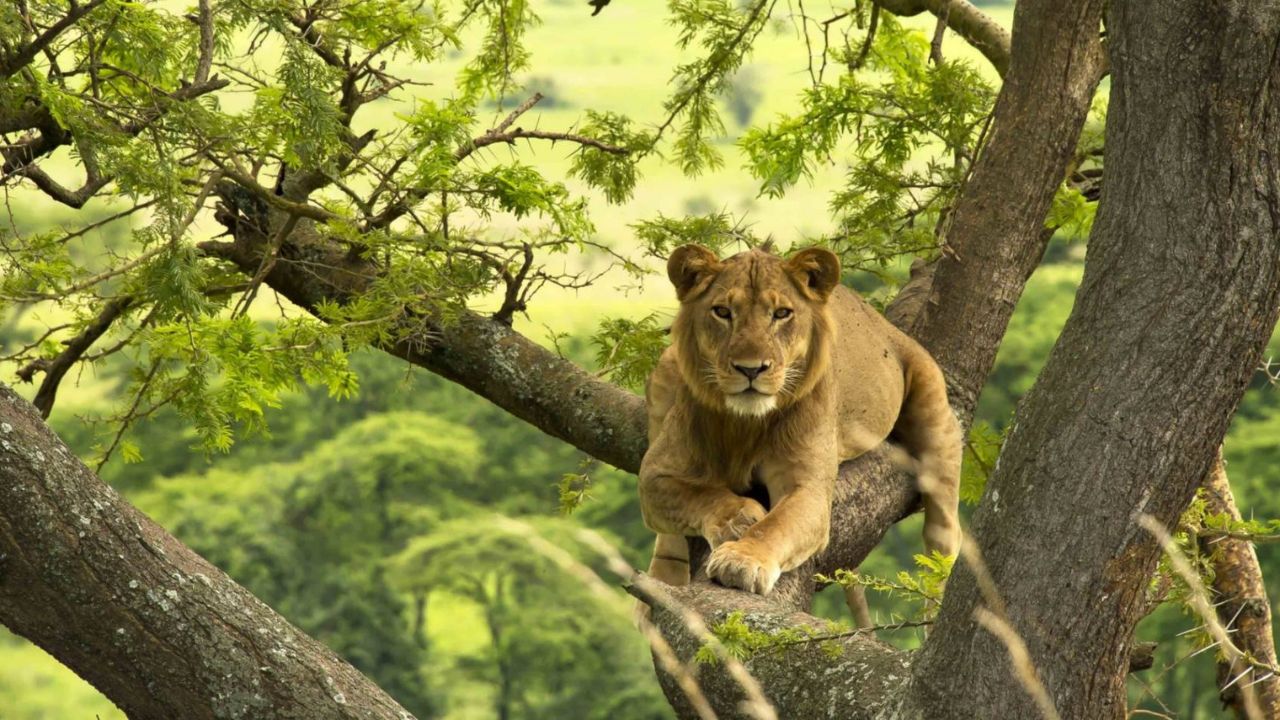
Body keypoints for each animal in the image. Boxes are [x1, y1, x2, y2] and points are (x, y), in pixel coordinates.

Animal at [638, 243, 961, 598]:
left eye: (781, 314)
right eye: (722, 312)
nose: (751, 369)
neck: (746, 423)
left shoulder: (808, 489)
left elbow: (776, 527)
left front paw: (743, 560)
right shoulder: (655, 474)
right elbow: (700, 495)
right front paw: (739, 517)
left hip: (933, 409)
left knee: (944, 532)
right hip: (667, 368)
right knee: (668, 542)